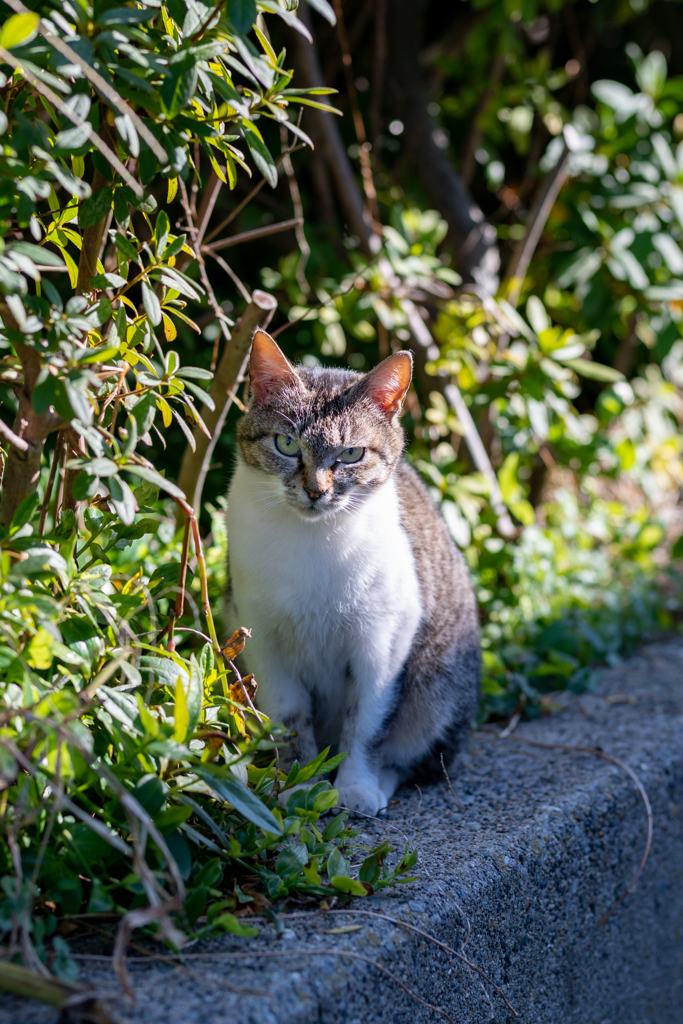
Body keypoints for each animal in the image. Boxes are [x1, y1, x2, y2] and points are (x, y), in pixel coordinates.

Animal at [225, 327, 481, 815]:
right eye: (287, 444)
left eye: (351, 454)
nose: (315, 491)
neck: (313, 543)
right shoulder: (263, 641)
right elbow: (290, 719)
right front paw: (298, 785)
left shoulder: (384, 642)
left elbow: (366, 722)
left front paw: (357, 786)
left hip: (438, 690)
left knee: (420, 754)